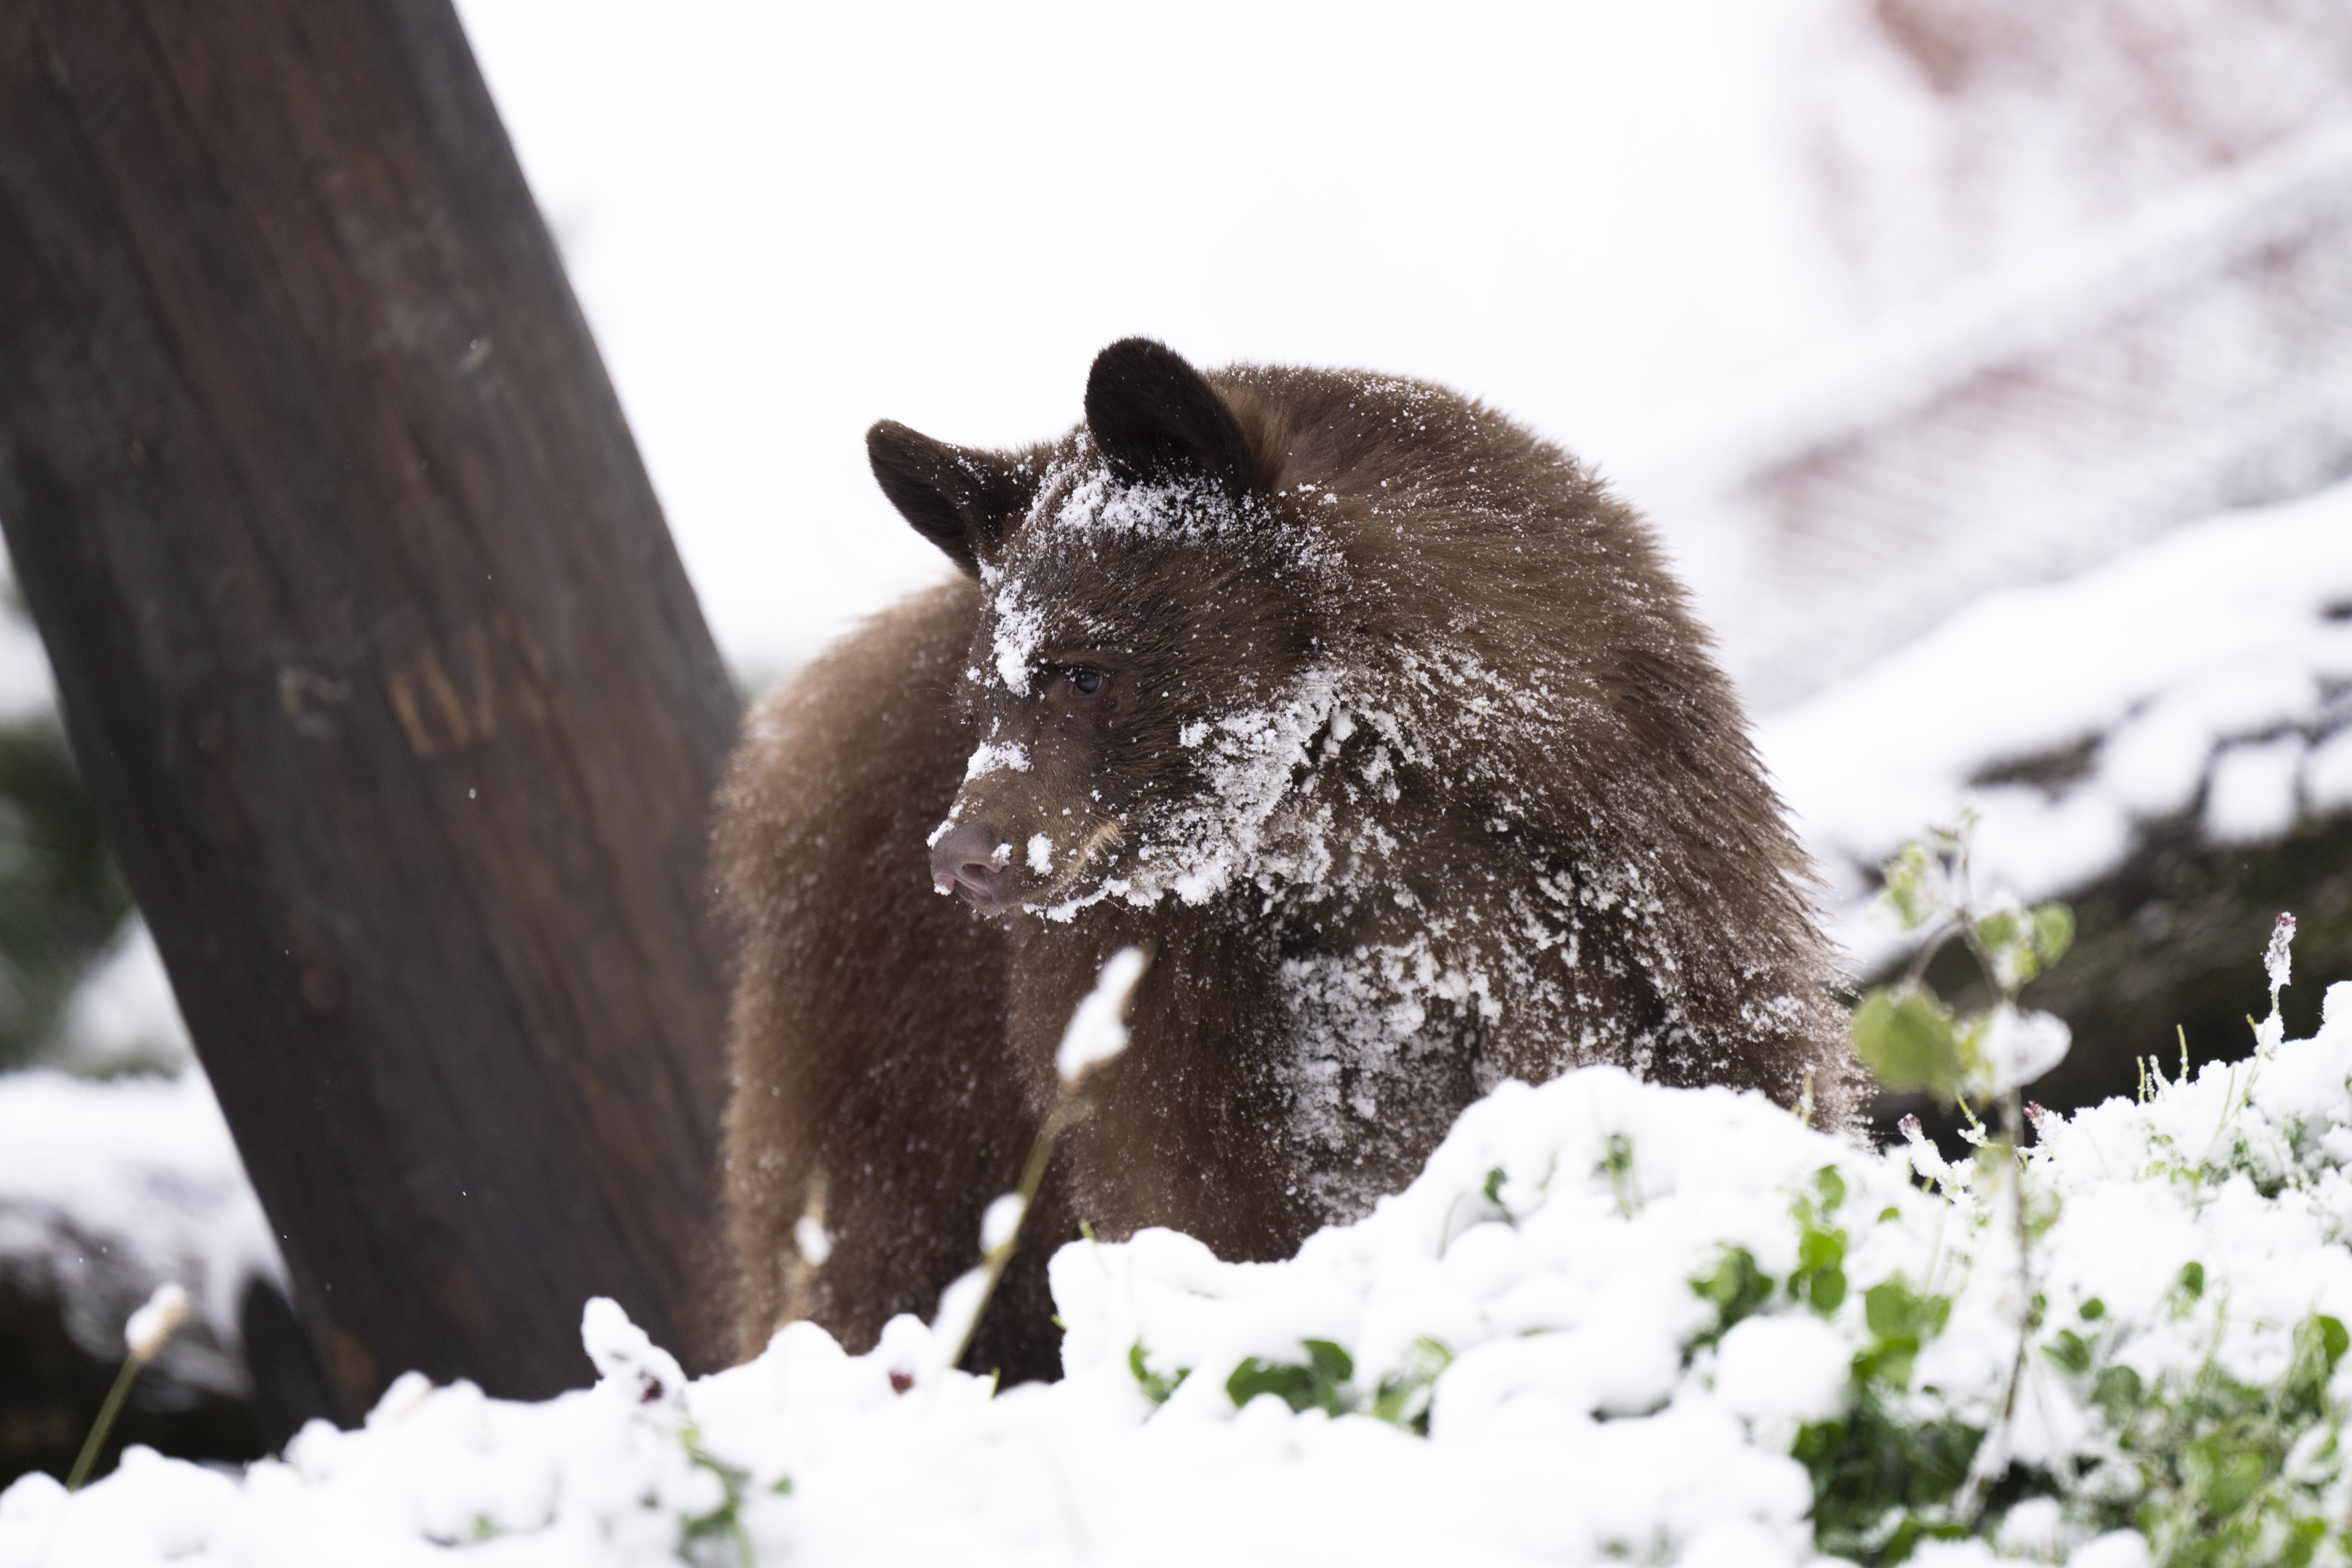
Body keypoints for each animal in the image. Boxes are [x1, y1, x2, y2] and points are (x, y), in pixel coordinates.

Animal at [715, 338, 1856, 1383]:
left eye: (1083, 667)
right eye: (985, 698)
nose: (962, 855)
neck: (1359, 845)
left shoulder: (1628, 904)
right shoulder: (1185, 1024)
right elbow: (1212, 1218)